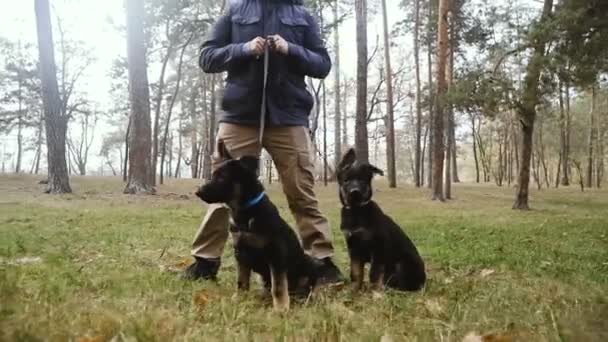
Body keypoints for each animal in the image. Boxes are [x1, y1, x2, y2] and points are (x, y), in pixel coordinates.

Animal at [196, 142, 320, 310]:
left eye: (222, 177)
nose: (198, 192)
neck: (247, 213)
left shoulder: (276, 255)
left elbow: (278, 286)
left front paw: (281, 308)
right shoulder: (240, 253)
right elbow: (242, 281)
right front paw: (239, 299)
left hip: (308, 263)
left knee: (304, 287)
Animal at [334, 148, 426, 292]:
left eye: (362, 181)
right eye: (346, 180)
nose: (355, 192)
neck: (356, 211)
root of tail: (424, 280)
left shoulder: (378, 248)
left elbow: (374, 273)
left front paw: (374, 292)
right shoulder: (353, 248)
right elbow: (356, 272)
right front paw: (354, 290)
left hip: (401, 263)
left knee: (404, 284)